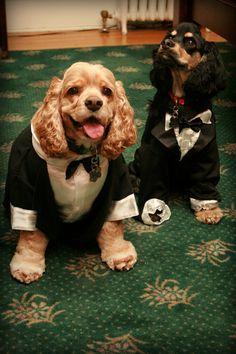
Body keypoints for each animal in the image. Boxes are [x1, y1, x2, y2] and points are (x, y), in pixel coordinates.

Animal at [129, 22, 227, 225]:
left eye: (190, 41)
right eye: (170, 36)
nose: (165, 44)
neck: (181, 103)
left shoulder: (207, 150)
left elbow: (205, 181)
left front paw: (208, 210)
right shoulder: (154, 150)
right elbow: (154, 183)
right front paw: (153, 211)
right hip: (140, 155)